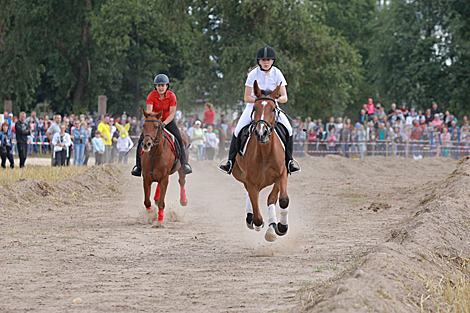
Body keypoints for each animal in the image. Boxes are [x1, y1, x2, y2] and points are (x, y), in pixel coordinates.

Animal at [232, 80, 290, 241]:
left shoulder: (282, 175)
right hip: (239, 174)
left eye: (273, 109)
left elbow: (281, 199)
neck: (265, 153)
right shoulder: (252, 181)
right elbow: (257, 216)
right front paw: (257, 223)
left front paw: (280, 227)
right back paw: (250, 218)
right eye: (255, 108)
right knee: (250, 195)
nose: (261, 133)